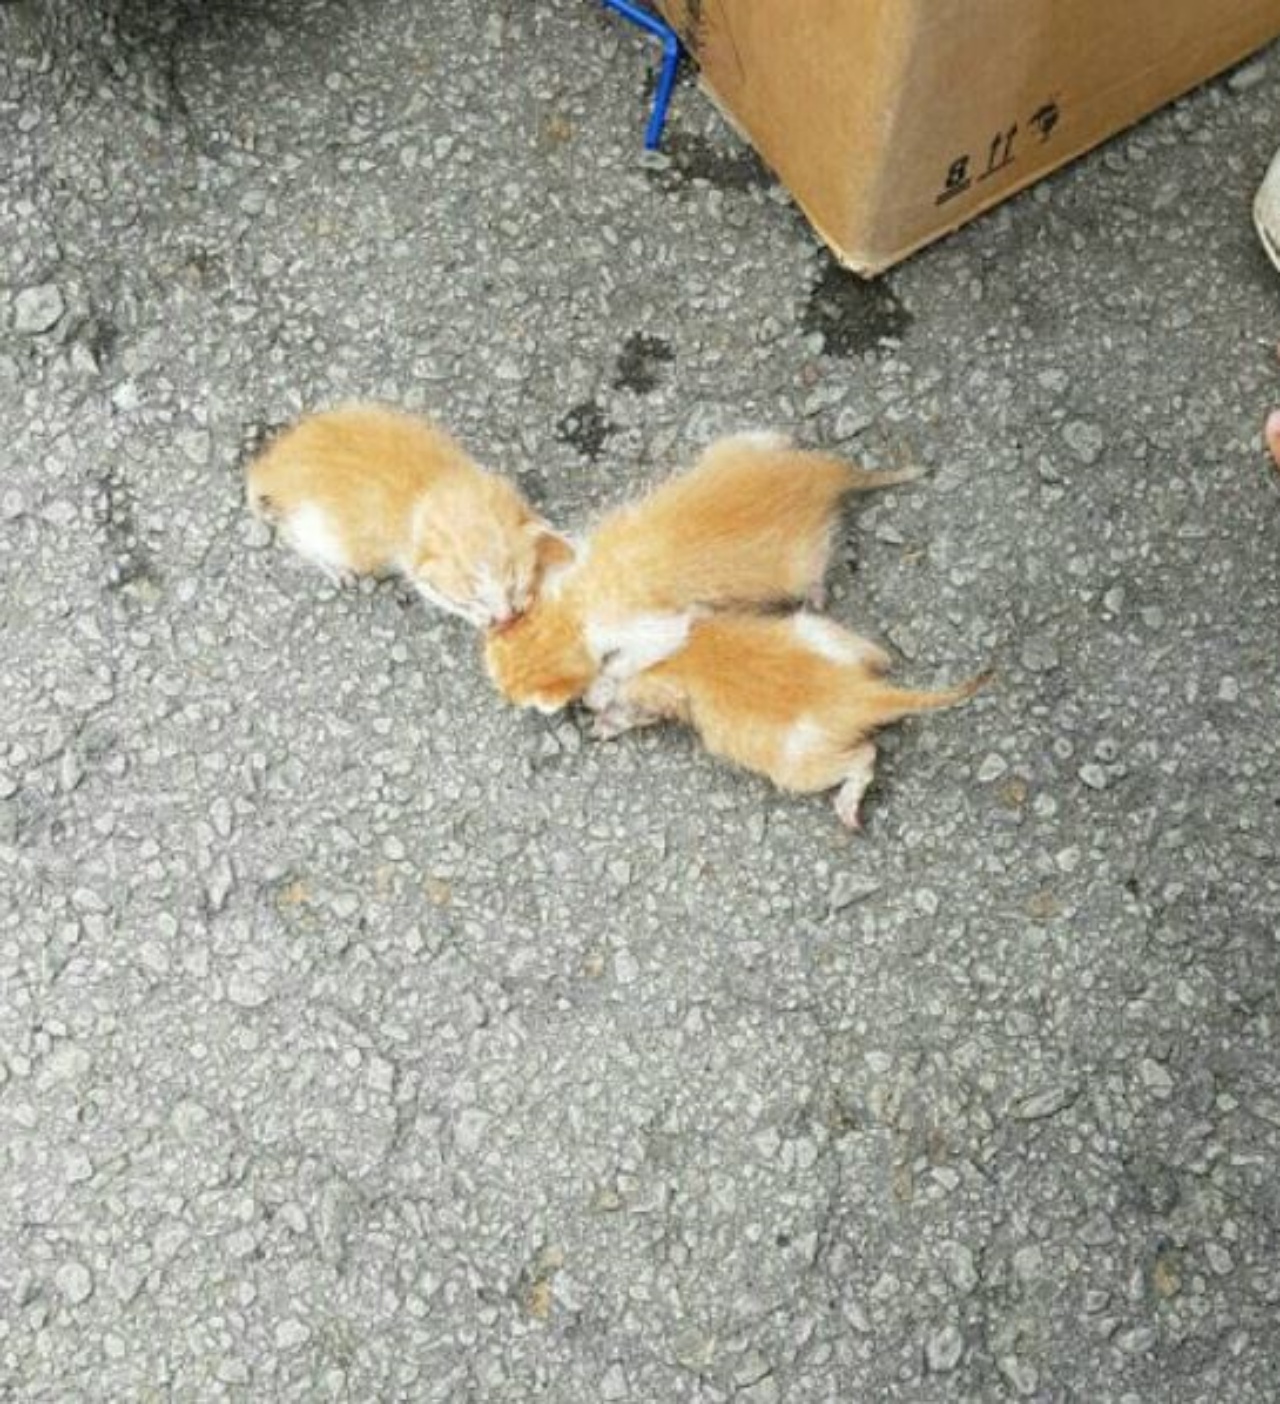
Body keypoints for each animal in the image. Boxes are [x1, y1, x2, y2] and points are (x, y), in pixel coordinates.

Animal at [245, 404, 564, 628]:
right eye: (472, 597)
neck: (435, 487)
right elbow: (435, 594)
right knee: (292, 536)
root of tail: (268, 468)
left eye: (513, 583)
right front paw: (479, 618)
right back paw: (339, 572)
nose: (507, 617)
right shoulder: (415, 565)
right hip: (321, 531)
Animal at [485, 429, 915, 713]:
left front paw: (607, 679)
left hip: (801, 561)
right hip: (738, 445)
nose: (502, 696)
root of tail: (819, 476)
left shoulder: (658, 628)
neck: (576, 604)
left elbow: (631, 658)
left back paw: (817, 592)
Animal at [583, 612, 982, 819]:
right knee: (879, 656)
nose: (582, 702)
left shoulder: (656, 694)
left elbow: (631, 709)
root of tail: (860, 693)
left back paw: (847, 808)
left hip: (796, 768)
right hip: (820, 631)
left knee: (866, 754)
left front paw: (604, 721)